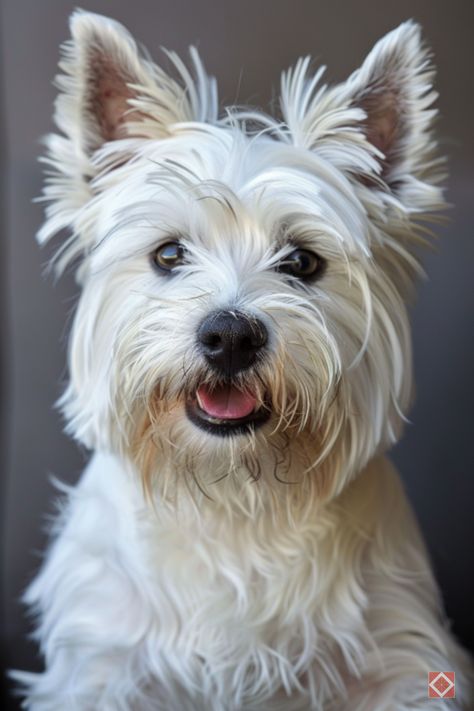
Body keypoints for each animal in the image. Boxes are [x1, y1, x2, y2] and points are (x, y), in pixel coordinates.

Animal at [14, 11, 470, 711]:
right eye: (169, 254)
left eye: (302, 261)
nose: (230, 336)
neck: (233, 502)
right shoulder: (104, 662)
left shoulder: (399, 661)